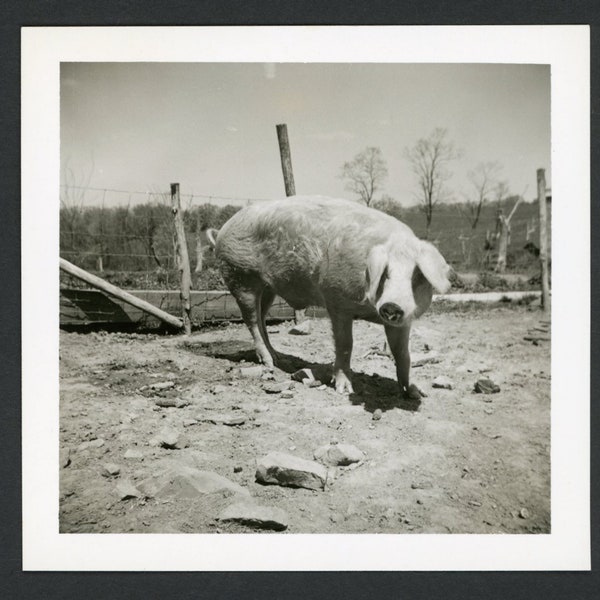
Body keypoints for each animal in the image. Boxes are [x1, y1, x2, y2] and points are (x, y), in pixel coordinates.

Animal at [212, 196, 450, 398]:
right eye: (385, 273)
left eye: (417, 276)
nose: (391, 305)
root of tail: (222, 230)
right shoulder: (337, 301)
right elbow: (345, 344)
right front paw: (344, 390)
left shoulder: (402, 321)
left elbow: (403, 354)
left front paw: (415, 393)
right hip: (240, 277)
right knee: (251, 320)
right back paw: (269, 362)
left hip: (268, 287)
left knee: (262, 319)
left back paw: (278, 357)